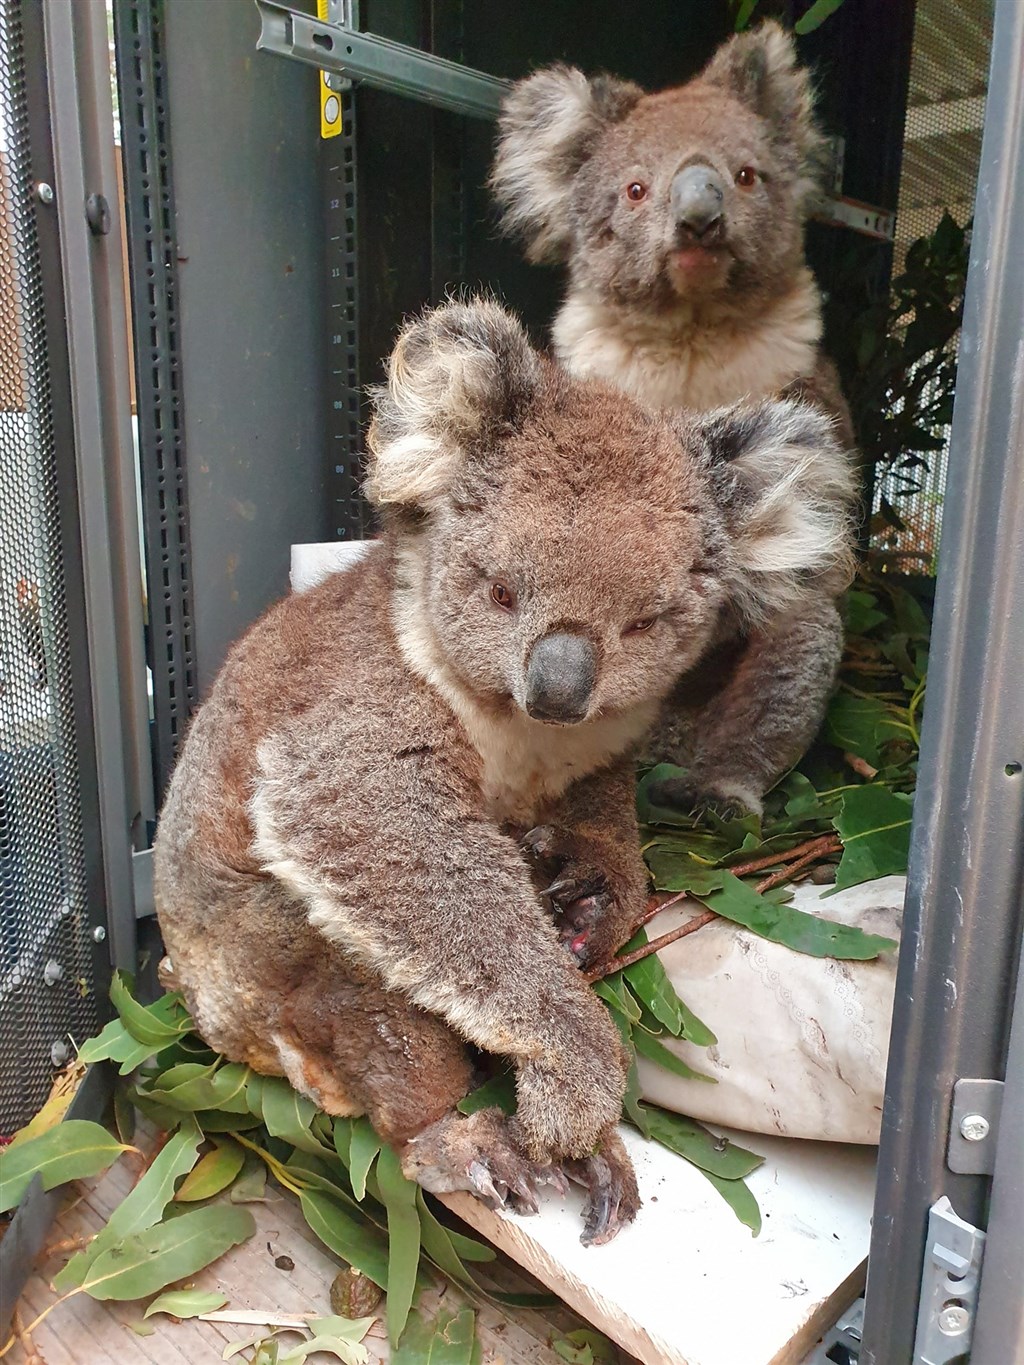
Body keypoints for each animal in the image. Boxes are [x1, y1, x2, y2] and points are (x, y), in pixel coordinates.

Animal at [153, 299, 852, 1244]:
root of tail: (199, 1005)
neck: (520, 729)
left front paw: (587, 898)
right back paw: (476, 1139)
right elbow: (377, 821)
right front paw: (576, 1081)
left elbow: (606, 822)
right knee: (377, 1025)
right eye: (500, 592)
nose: (559, 686)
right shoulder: (365, 707)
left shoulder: (607, 748)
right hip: (266, 949)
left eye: (644, 622)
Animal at [491, 21, 857, 813]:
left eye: (747, 175)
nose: (699, 220)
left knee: (787, 659)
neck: (691, 340)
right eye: (635, 189)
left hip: (778, 662)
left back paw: (713, 788)